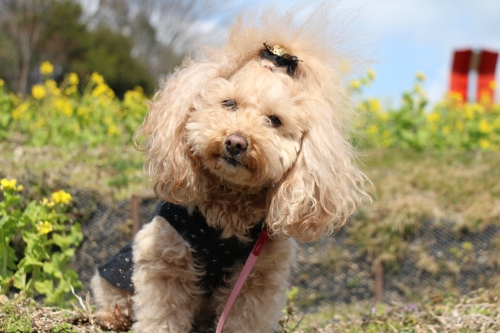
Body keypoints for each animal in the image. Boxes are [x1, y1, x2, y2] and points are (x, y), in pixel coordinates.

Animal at [92, 5, 370, 332]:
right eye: (229, 103)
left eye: (274, 120)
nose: (236, 142)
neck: (230, 204)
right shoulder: (164, 257)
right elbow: (162, 314)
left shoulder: (258, 277)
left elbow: (245, 318)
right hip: (116, 271)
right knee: (112, 293)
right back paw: (112, 316)